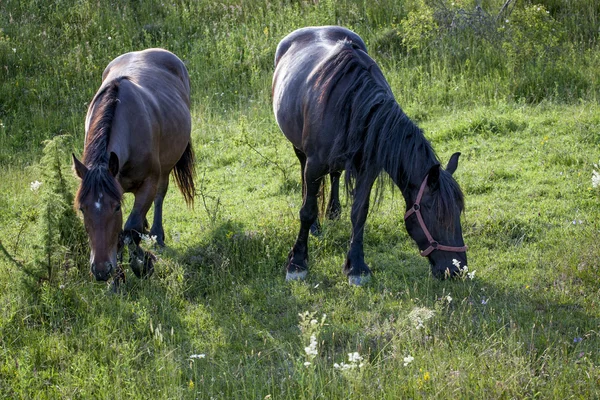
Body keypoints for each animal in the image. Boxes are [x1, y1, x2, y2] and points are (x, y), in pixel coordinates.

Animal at [72, 48, 195, 282]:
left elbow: (130, 228)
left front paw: (141, 265)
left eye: (116, 207)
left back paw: (156, 234)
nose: (100, 270)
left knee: (159, 196)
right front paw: (116, 280)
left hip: (166, 167)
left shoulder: (148, 182)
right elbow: (123, 233)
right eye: (82, 209)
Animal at [274, 26, 468, 284]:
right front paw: (297, 263)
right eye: (436, 214)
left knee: (335, 175)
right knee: (306, 181)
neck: (354, 104)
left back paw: (334, 211)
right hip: (300, 151)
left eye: (458, 212)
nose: (457, 270)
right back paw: (316, 224)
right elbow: (307, 211)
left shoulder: (368, 169)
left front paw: (356, 266)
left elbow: (359, 214)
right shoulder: (314, 165)